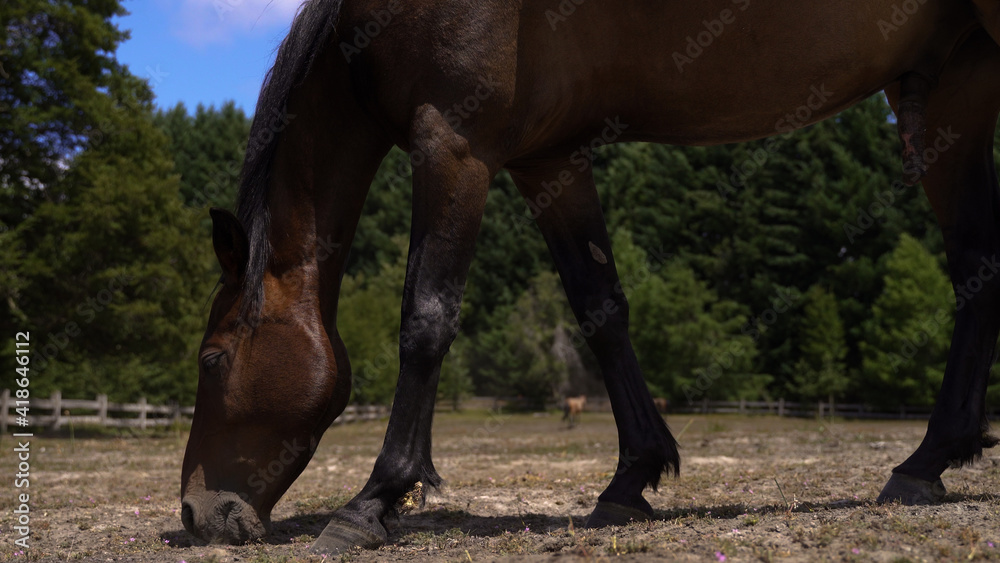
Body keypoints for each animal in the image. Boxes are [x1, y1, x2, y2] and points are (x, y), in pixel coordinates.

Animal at [179, 0, 1000, 555]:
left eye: (211, 360)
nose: (194, 512)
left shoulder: (454, 143)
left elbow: (427, 317)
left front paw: (373, 500)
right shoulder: (552, 161)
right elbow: (600, 308)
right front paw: (633, 477)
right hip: (949, 88)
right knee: (976, 269)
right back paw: (928, 460)